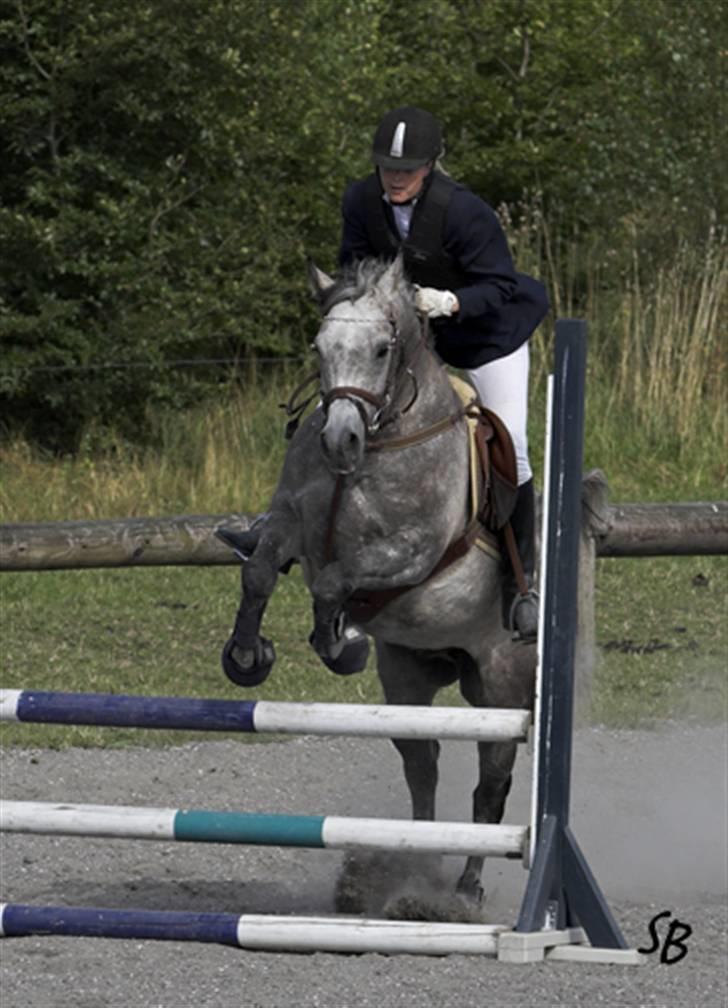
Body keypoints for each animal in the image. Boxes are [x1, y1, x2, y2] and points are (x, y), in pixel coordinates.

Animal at [219, 254, 532, 907]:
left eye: (384, 349)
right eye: (318, 348)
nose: (339, 441)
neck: (380, 441)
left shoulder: (411, 552)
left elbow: (333, 584)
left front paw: (340, 643)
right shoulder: (290, 522)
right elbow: (260, 570)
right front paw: (247, 656)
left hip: (502, 681)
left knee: (491, 784)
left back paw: (464, 890)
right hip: (408, 676)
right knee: (423, 764)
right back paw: (414, 870)